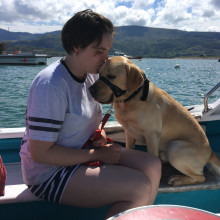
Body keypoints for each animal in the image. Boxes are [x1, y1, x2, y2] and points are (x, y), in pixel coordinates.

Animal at [89, 55, 220, 186]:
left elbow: (151, 157)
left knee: (200, 177)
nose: (90, 89)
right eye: (99, 74)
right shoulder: (129, 132)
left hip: (175, 147)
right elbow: (129, 148)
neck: (132, 99)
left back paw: (178, 179)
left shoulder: (151, 135)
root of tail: (210, 152)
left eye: (111, 76)